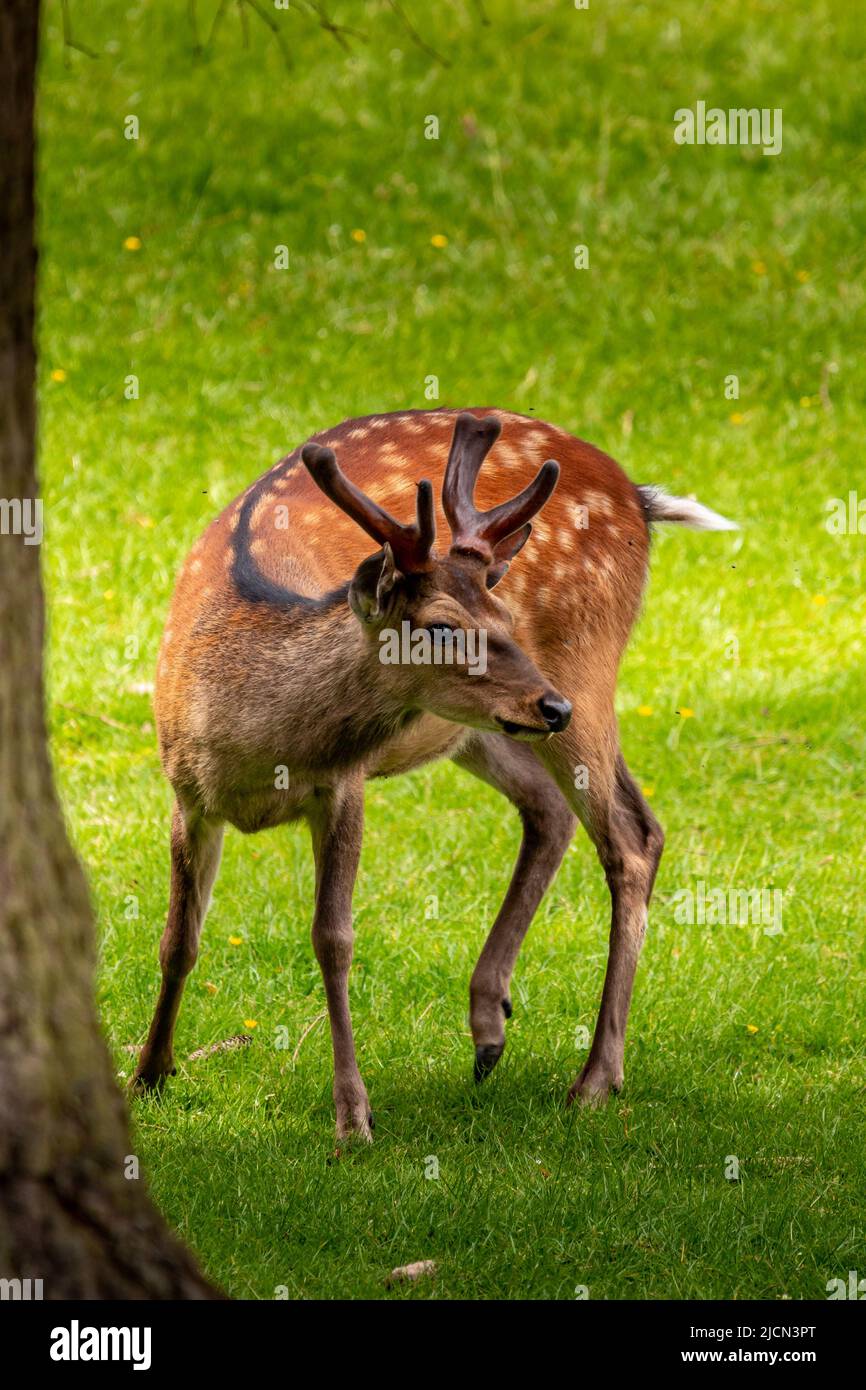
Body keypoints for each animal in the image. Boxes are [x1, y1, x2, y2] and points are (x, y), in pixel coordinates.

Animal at [132, 408, 735, 1140]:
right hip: (477, 728)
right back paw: (489, 1027)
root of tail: (637, 496)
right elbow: (178, 940)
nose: (551, 704)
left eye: (503, 616)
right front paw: (148, 1074)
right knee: (551, 809)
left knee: (631, 836)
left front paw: (352, 1118)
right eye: (444, 628)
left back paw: (595, 1079)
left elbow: (333, 938)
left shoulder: (344, 785)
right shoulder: (187, 795)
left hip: (585, 663)